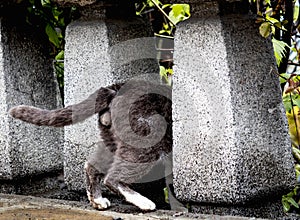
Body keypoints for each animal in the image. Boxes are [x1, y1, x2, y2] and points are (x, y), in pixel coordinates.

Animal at [9, 79, 185, 211]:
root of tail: (114, 89)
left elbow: (171, 184)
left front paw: (179, 208)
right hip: (147, 139)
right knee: (113, 177)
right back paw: (143, 202)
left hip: (112, 141)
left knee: (91, 166)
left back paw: (97, 200)